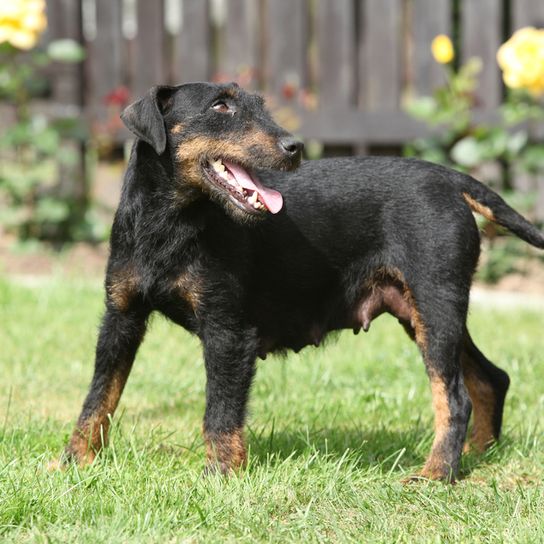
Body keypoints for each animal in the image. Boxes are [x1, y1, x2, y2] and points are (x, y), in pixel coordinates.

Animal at [61, 81, 540, 480]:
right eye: (221, 106)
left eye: (260, 105)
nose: (294, 146)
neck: (170, 223)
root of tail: (451, 179)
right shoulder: (121, 318)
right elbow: (98, 398)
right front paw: (72, 463)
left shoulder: (228, 332)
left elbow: (220, 413)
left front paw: (219, 476)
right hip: (423, 311)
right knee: (490, 378)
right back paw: (475, 456)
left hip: (436, 303)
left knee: (454, 397)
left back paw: (436, 474)